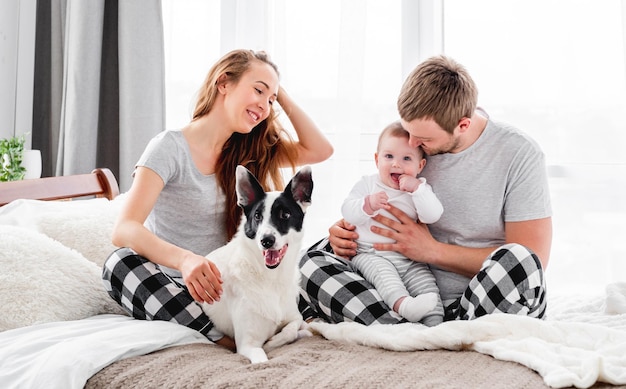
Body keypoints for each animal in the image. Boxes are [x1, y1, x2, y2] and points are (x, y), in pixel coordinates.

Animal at [202, 164, 312, 364]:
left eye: (285, 214)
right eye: (257, 216)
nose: (266, 241)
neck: (270, 278)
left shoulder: (294, 316)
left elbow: (293, 327)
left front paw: (275, 339)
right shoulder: (248, 345)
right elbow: (263, 358)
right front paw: (271, 343)